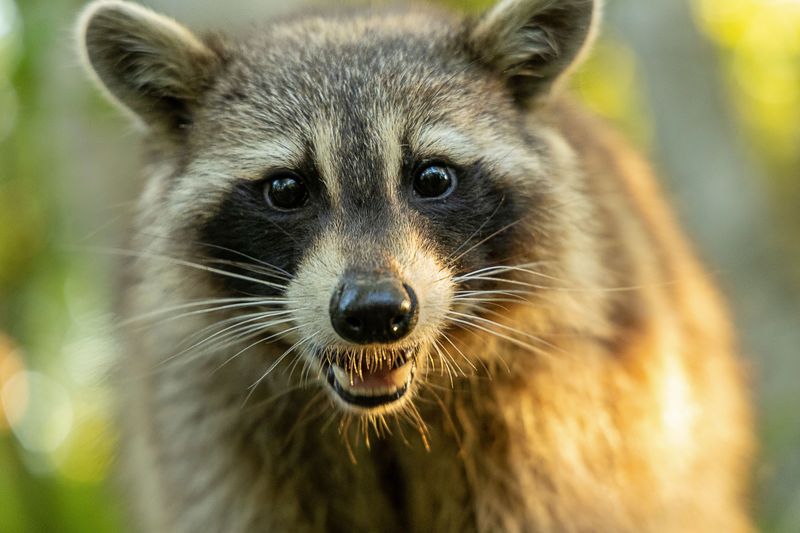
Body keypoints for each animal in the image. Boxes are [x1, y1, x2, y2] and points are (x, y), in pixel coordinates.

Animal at [77, 0, 754, 531]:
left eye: (432, 178)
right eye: (286, 189)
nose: (376, 312)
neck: (384, 420)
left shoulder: (562, 416)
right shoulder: (215, 430)